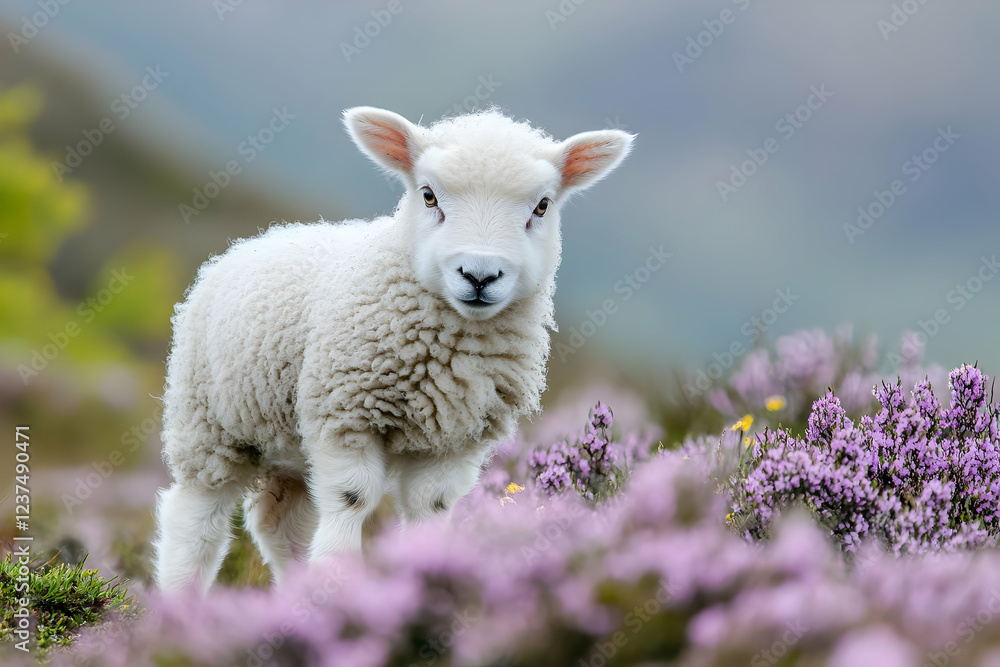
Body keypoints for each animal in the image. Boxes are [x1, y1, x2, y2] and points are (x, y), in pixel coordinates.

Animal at [153, 106, 634, 591]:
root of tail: (255, 240)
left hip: (286, 443)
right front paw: (338, 583)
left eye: (542, 206)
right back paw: (181, 600)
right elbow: (351, 500)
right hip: (208, 424)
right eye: (429, 196)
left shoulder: (455, 439)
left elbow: (431, 507)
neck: (447, 357)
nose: (479, 276)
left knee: (279, 522)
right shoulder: (345, 413)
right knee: (195, 520)